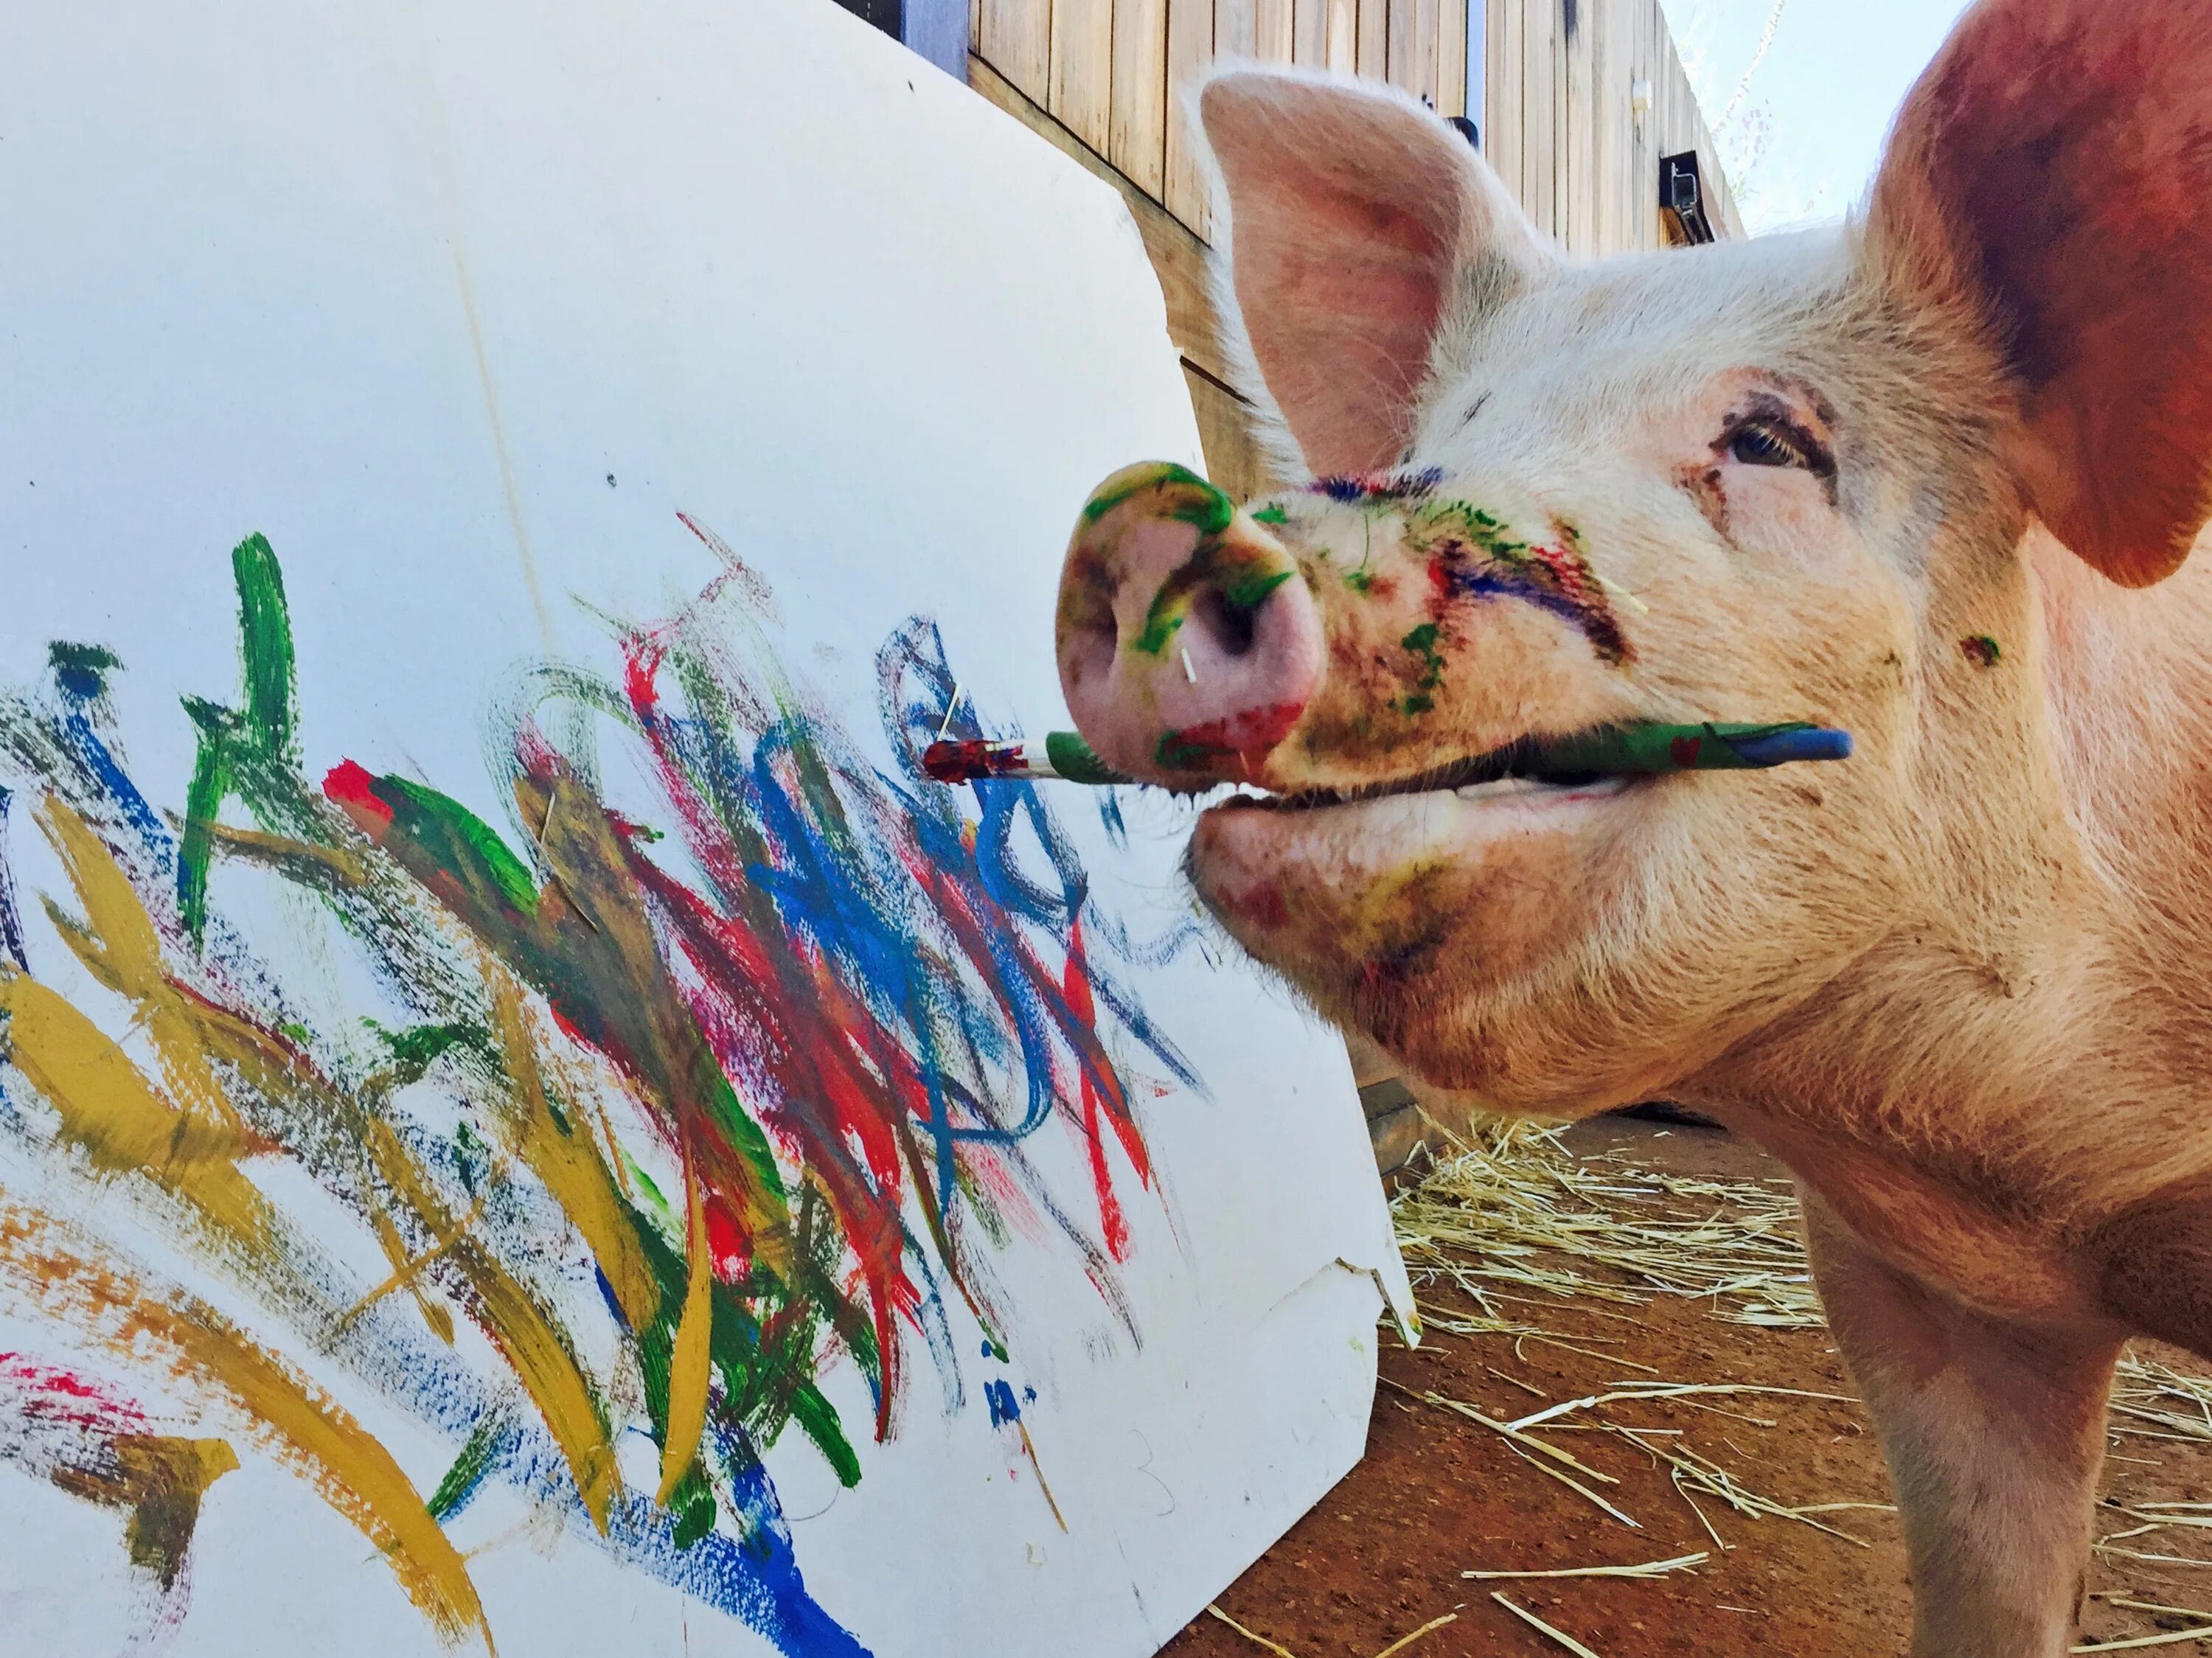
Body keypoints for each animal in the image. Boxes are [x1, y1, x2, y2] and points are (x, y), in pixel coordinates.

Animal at [1048, 3, 2212, 1658]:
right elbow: (1990, 1580)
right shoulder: (1918, 1290)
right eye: (1451, 432)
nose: (1165, 529)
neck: (2041, 1176)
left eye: (1773, 441)